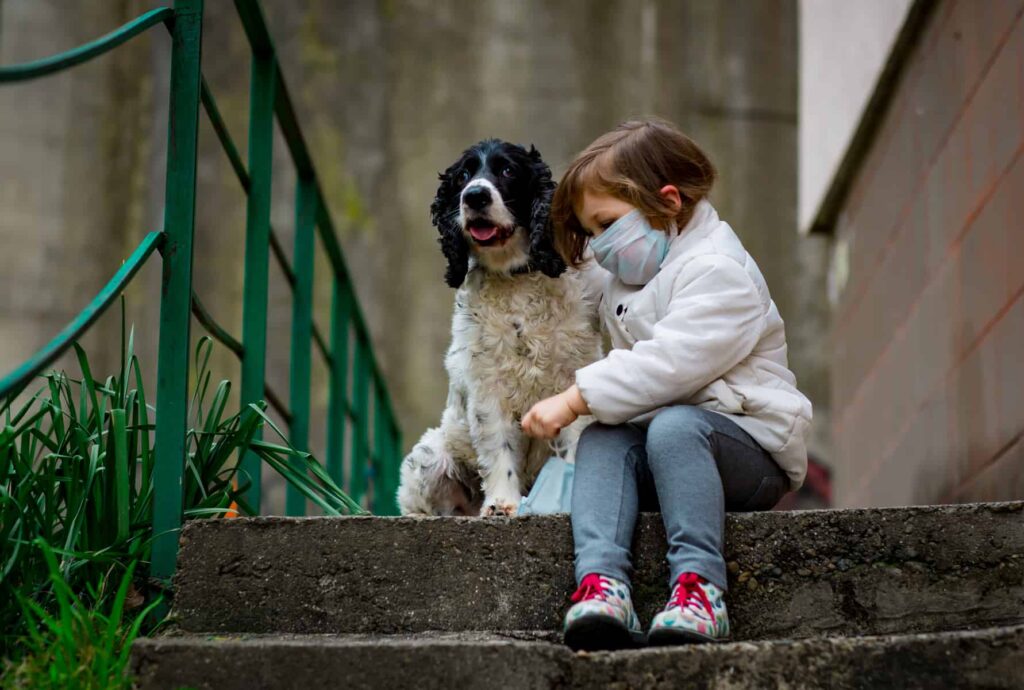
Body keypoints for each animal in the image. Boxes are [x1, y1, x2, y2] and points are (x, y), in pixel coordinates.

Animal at [395, 139, 602, 513]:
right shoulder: (488, 386)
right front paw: (502, 503)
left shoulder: (573, 373)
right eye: (463, 176)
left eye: (507, 170)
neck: (514, 279)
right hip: (430, 457)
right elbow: (498, 445)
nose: (474, 196)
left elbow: (577, 438)